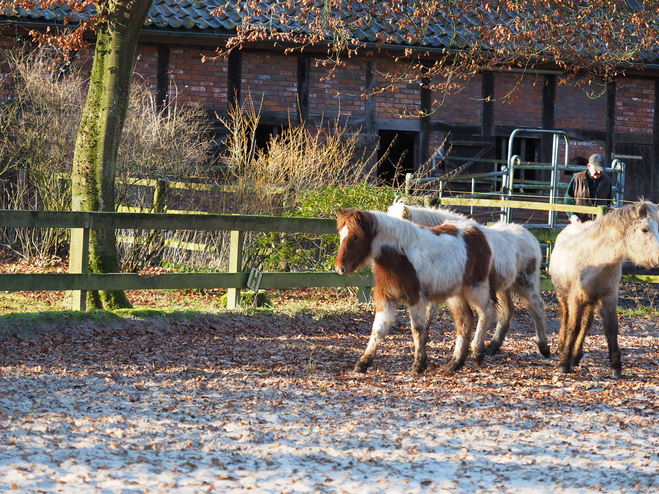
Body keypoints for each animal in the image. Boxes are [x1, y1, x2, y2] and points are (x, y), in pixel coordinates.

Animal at [336, 208, 496, 374]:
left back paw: (477, 354)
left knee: (486, 311)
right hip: (457, 294)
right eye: (340, 234)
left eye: (356, 236)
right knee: (465, 320)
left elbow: (418, 330)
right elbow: (378, 329)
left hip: (476, 288)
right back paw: (455, 363)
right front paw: (363, 363)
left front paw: (418, 364)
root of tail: (479, 232)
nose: (340, 268)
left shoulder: (416, 298)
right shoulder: (386, 297)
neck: (400, 254)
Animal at [390, 203, 548, 356]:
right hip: (503, 287)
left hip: (526, 283)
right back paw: (492, 347)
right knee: (507, 311)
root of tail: (530, 236)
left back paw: (544, 347)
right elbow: (429, 313)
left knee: (537, 308)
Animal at [548, 201, 659, 378]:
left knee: (586, 324)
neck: (596, 259)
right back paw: (562, 345)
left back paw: (576, 355)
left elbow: (611, 329)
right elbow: (573, 327)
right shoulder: (575, 298)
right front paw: (563, 364)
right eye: (644, 229)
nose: (658, 257)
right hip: (563, 295)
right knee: (565, 317)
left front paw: (616, 367)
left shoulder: (609, 298)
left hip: (590, 301)